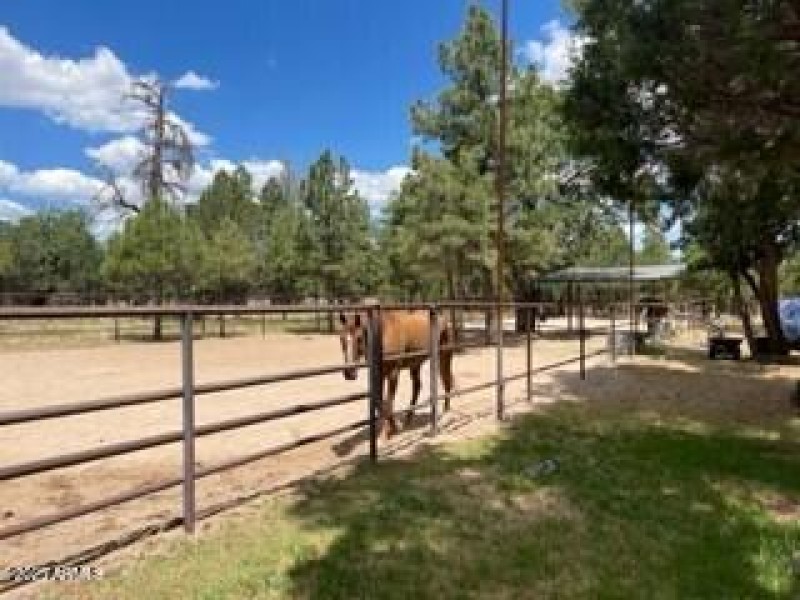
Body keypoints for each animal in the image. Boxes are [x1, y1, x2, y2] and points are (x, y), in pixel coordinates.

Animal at [338, 309, 455, 440]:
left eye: (359, 338)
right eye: (341, 338)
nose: (349, 373)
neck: (382, 334)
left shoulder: (393, 373)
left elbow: (389, 402)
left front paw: (386, 434)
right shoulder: (379, 375)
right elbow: (380, 402)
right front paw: (394, 427)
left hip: (443, 357)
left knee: (447, 381)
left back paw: (446, 412)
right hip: (415, 363)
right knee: (417, 386)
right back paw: (408, 418)